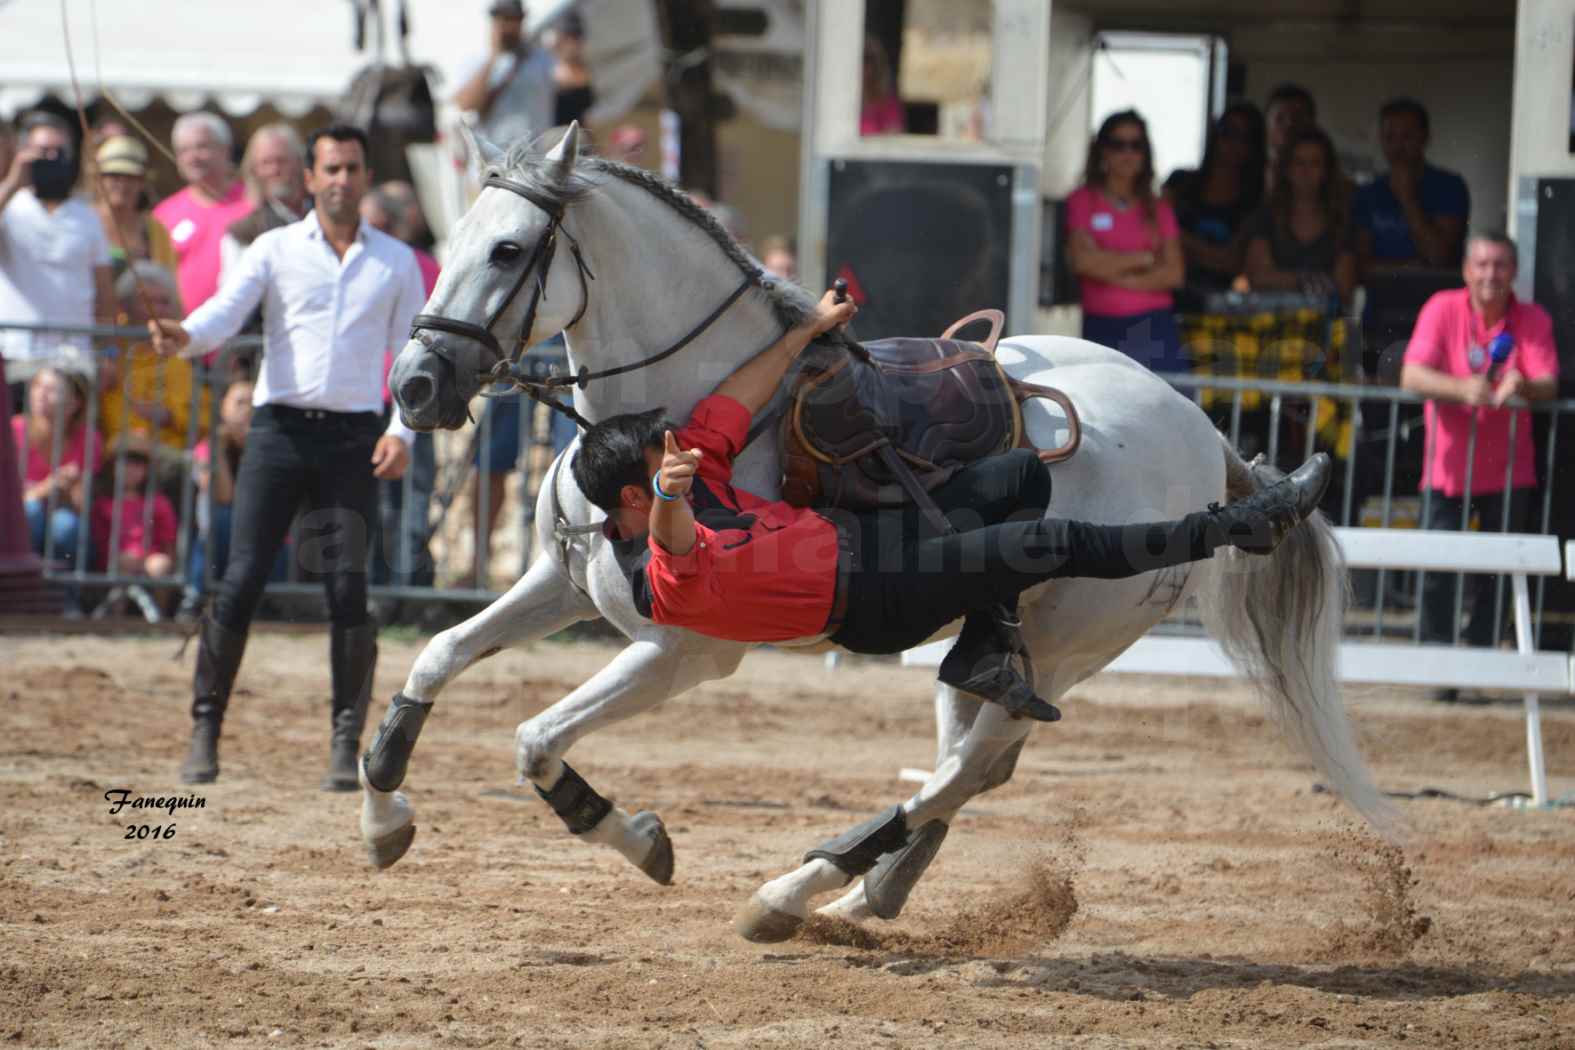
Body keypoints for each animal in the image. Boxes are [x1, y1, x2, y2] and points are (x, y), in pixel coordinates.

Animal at [365, 125, 1392, 944]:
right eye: (449, 240)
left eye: (507, 250)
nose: (416, 385)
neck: (671, 419)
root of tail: (1196, 427)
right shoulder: (558, 584)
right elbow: (435, 659)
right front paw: (382, 816)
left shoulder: (684, 651)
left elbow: (535, 740)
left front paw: (637, 838)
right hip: (991, 643)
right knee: (978, 754)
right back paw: (867, 896)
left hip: (1076, 641)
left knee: (965, 769)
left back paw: (797, 890)